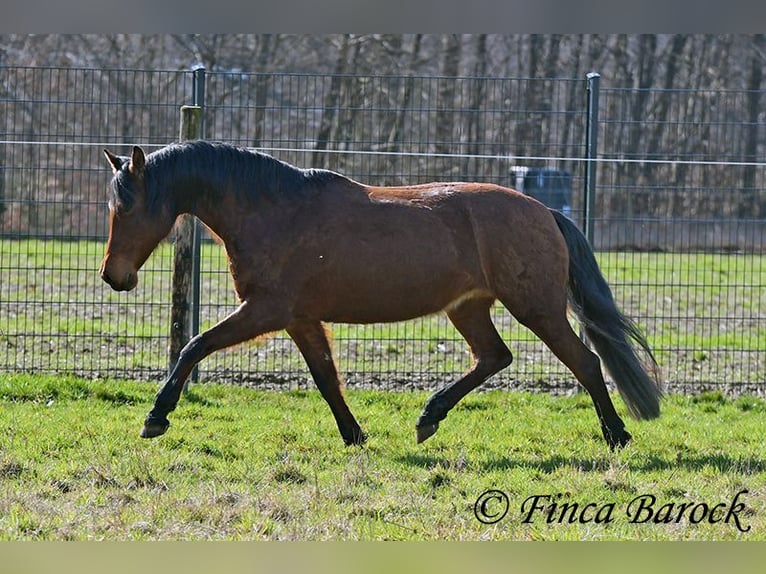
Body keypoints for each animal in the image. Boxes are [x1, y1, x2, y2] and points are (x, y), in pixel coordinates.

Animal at [100, 140, 662, 449]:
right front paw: (355, 435)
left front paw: (156, 418)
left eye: (124, 207)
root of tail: (545, 211)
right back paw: (429, 417)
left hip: (536, 308)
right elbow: (326, 379)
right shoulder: (300, 318)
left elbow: (194, 346)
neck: (275, 210)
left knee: (585, 362)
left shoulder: (266, 310)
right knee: (493, 357)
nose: (113, 277)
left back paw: (617, 436)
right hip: (469, 308)